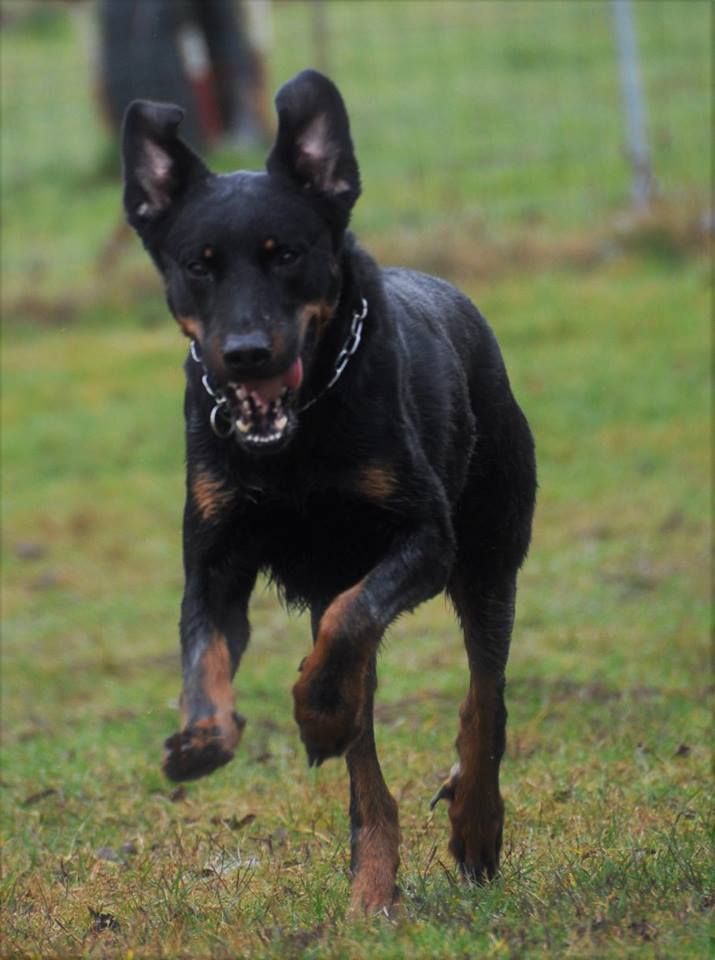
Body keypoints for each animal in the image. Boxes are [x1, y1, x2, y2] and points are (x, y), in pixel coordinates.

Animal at [123, 69, 536, 916]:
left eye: (286, 254)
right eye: (198, 264)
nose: (246, 354)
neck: (295, 438)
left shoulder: (423, 540)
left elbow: (354, 622)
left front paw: (313, 713)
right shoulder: (213, 560)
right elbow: (206, 653)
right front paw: (202, 740)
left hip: (489, 558)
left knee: (483, 696)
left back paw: (472, 823)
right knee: (365, 749)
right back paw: (371, 881)